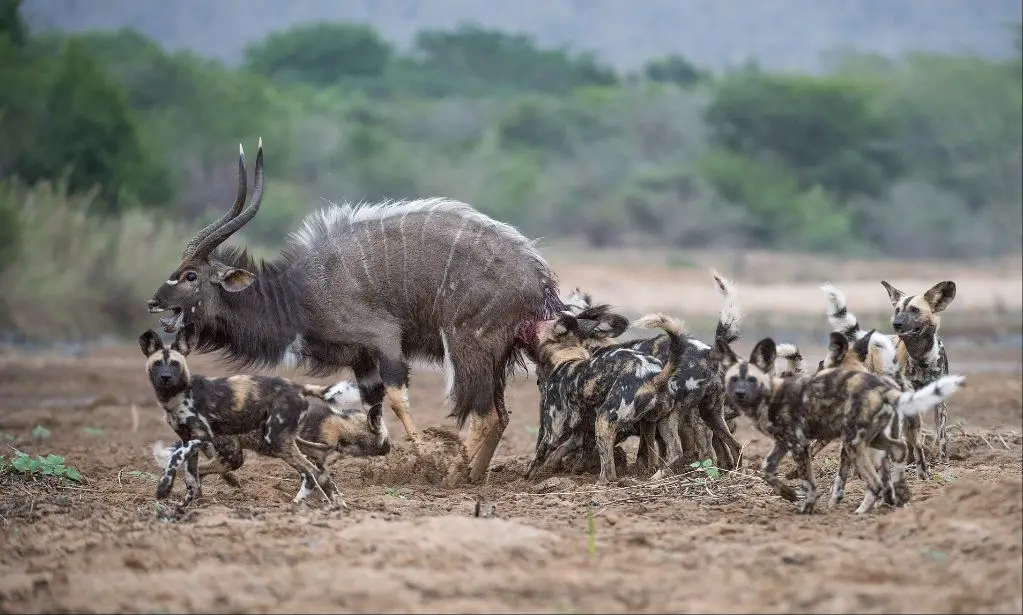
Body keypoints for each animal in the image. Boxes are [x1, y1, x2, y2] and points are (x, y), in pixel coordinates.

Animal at [527, 311, 687, 485]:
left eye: (535, 328)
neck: (567, 358)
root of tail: (656, 376)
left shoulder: (552, 433)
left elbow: (539, 456)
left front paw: (528, 476)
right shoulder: (580, 432)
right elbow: (565, 451)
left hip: (603, 422)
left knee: (609, 472)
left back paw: (599, 484)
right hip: (654, 423)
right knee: (674, 452)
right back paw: (655, 476)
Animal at [716, 331, 961, 513]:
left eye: (752, 380)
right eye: (733, 379)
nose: (739, 394)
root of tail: (886, 389)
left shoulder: (802, 443)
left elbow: (813, 481)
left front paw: (809, 505)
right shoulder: (784, 443)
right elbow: (766, 470)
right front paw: (788, 493)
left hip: (855, 442)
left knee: (877, 479)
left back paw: (863, 511)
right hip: (876, 440)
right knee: (899, 454)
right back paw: (898, 497)